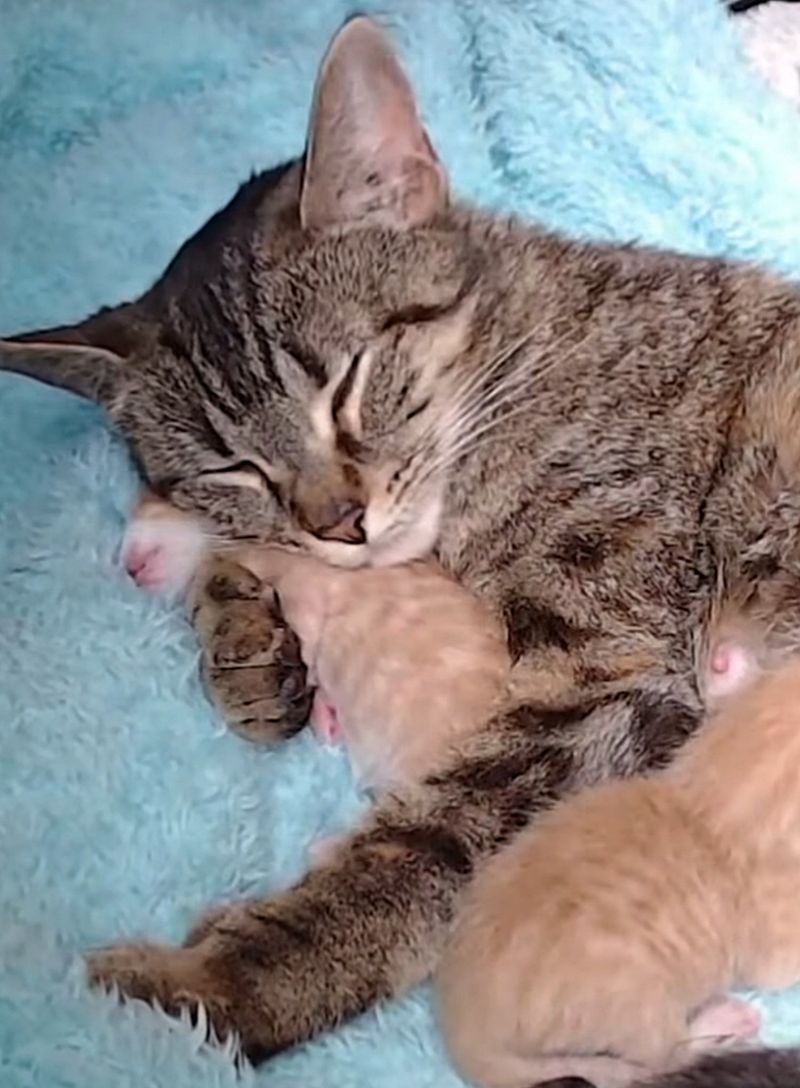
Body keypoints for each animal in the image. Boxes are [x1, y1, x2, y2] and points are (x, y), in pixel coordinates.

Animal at [435, 644, 800, 1088]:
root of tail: (461, 1027)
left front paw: (730, 667)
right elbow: (778, 969)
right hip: (643, 1009)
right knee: (662, 1058)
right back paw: (722, 1021)